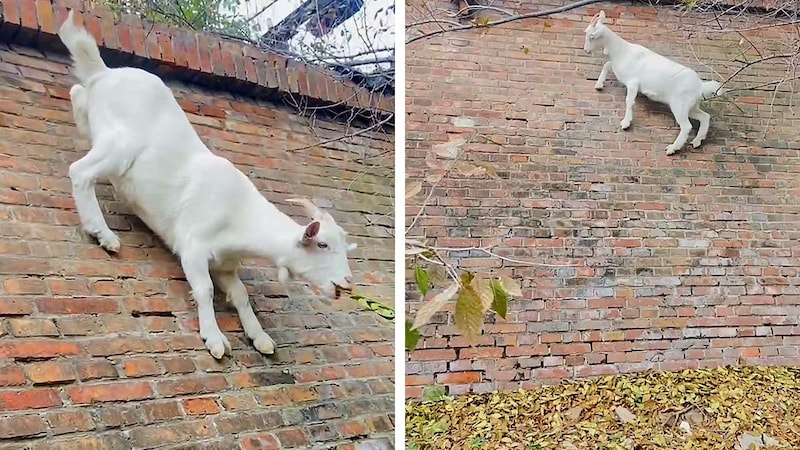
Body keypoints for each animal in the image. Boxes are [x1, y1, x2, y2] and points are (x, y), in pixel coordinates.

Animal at [56, 10, 356, 358]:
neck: (240, 214)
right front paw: (214, 338)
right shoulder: (193, 247)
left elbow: (240, 294)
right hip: (120, 146)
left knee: (76, 95)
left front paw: (260, 337)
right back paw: (103, 234)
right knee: (80, 171)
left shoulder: (225, 264)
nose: (347, 283)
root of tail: (103, 75)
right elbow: (204, 288)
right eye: (322, 245)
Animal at [580, 11, 724, 155]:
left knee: (686, 126)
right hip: (692, 107)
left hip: (679, 105)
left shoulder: (633, 83)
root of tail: (700, 86)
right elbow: (607, 65)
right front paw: (599, 85)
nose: (586, 50)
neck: (622, 51)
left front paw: (626, 123)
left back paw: (672, 148)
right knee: (705, 117)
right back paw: (697, 141)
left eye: (591, 37)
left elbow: (629, 101)